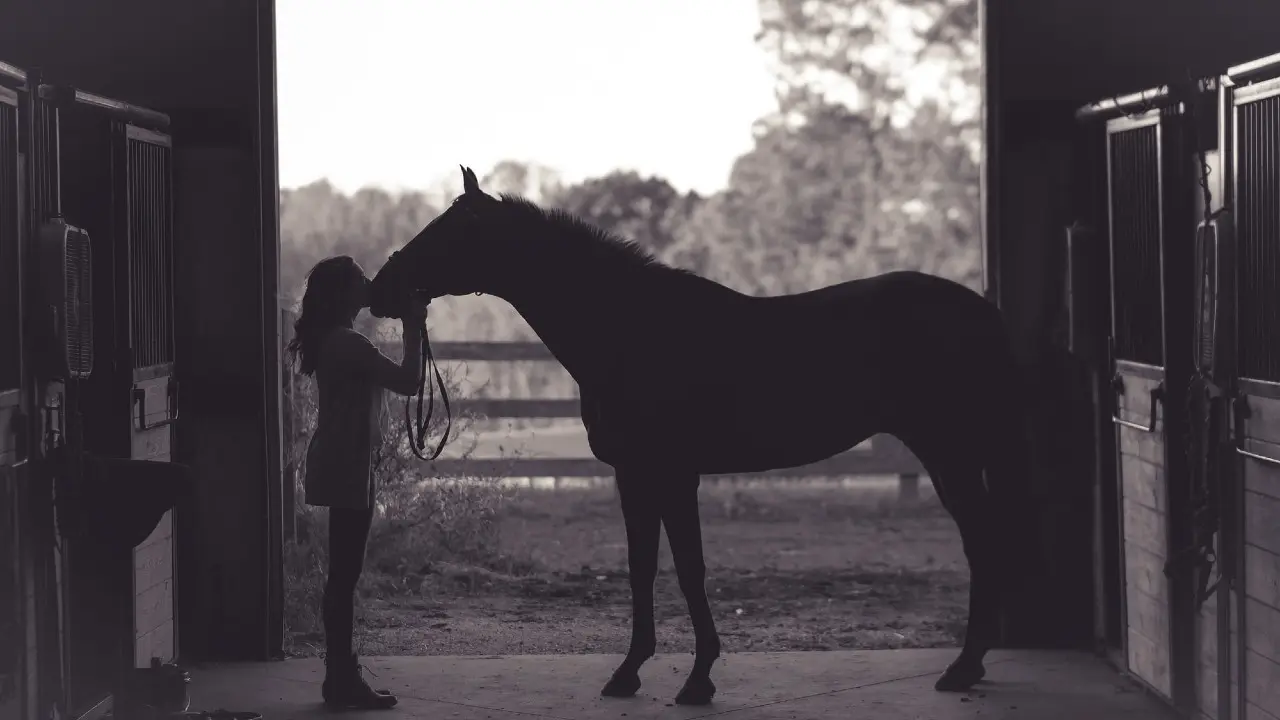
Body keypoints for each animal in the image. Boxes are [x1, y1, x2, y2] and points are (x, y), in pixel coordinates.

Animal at [371, 165, 1039, 702]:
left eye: (447, 232)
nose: (380, 290)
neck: (629, 329)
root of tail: (983, 311)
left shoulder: (673, 473)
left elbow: (689, 569)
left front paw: (697, 680)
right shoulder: (633, 475)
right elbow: (643, 567)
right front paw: (629, 673)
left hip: (951, 454)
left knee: (984, 544)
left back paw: (963, 668)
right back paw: (969, 667)